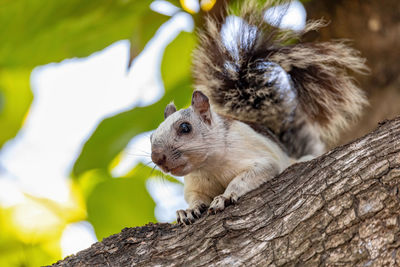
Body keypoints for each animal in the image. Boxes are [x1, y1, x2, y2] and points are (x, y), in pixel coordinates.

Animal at [150, 0, 368, 226]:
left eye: (185, 128)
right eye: (151, 136)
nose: (157, 157)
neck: (210, 166)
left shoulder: (259, 158)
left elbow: (247, 177)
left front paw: (225, 196)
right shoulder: (196, 183)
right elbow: (195, 197)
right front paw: (187, 210)